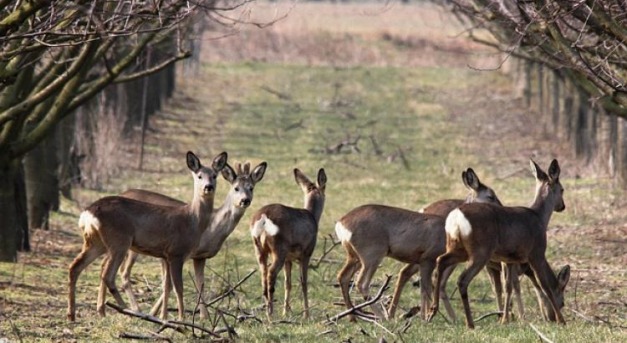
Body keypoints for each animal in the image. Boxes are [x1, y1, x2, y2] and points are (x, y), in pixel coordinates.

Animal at [67, 152, 228, 322]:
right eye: (199, 176)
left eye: (214, 175)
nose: (208, 187)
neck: (192, 220)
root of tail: (88, 213)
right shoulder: (176, 252)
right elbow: (179, 288)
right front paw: (181, 319)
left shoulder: (166, 255)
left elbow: (167, 286)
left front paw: (165, 317)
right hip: (119, 241)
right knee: (107, 274)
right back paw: (129, 311)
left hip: (96, 242)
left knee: (75, 267)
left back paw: (73, 314)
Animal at [119, 161, 268, 320]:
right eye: (236, 188)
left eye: (251, 188)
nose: (245, 200)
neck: (211, 228)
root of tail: (122, 193)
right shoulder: (176, 253)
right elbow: (170, 285)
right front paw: (158, 313)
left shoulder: (200, 257)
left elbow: (199, 284)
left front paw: (204, 316)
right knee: (124, 272)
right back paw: (136, 309)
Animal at [250, 168, 328, 322]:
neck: (313, 217)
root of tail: (263, 219)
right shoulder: (306, 253)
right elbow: (304, 282)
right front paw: (306, 314)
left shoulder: (289, 258)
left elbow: (288, 283)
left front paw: (286, 312)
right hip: (279, 248)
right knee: (271, 273)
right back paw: (270, 313)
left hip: (259, 249)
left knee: (263, 274)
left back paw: (268, 310)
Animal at [336, 168, 502, 322]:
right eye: (490, 196)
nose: (501, 208)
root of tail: (341, 224)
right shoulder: (428, 258)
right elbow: (427, 288)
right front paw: (425, 317)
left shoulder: (423, 260)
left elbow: (424, 288)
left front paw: (424, 316)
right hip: (372, 254)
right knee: (361, 283)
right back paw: (383, 317)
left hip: (354, 256)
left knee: (343, 277)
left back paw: (353, 317)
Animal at [430, 160, 572, 330]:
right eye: (562, 189)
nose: (562, 206)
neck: (539, 218)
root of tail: (456, 217)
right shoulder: (536, 253)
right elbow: (545, 287)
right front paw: (561, 320)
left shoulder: (509, 259)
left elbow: (508, 286)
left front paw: (505, 319)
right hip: (481, 251)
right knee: (462, 280)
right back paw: (470, 323)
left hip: (457, 247)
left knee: (440, 260)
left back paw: (432, 311)